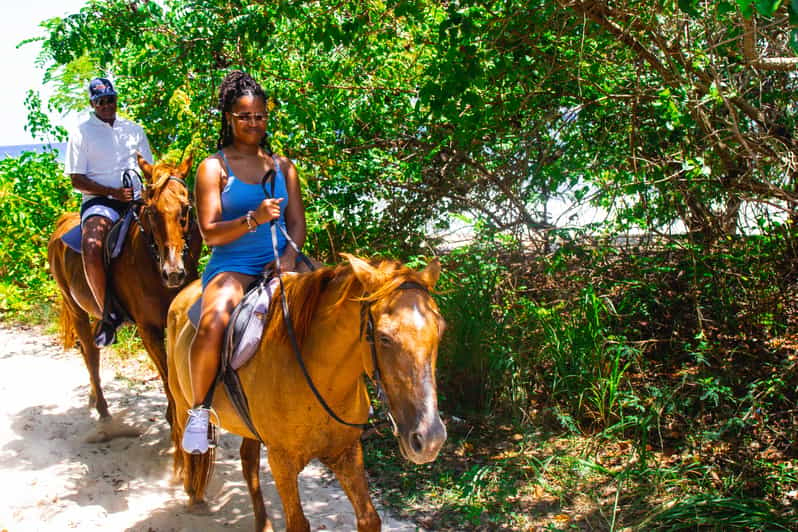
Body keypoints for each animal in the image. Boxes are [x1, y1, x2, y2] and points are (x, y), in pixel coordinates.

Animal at [48, 154, 203, 440]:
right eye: (151, 211)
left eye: (186, 208)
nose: (173, 273)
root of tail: (62, 223)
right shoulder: (148, 329)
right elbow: (166, 374)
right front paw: (173, 419)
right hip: (75, 309)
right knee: (91, 354)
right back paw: (102, 410)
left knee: (90, 349)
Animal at [167, 254, 450, 532]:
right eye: (384, 338)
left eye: (440, 331)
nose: (430, 439)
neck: (322, 377)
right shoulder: (282, 461)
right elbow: (298, 523)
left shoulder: (346, 451)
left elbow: (369, 518)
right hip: (181, 401)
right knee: (184, 436)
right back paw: (191, 489)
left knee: (248, 462)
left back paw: (262, 523)